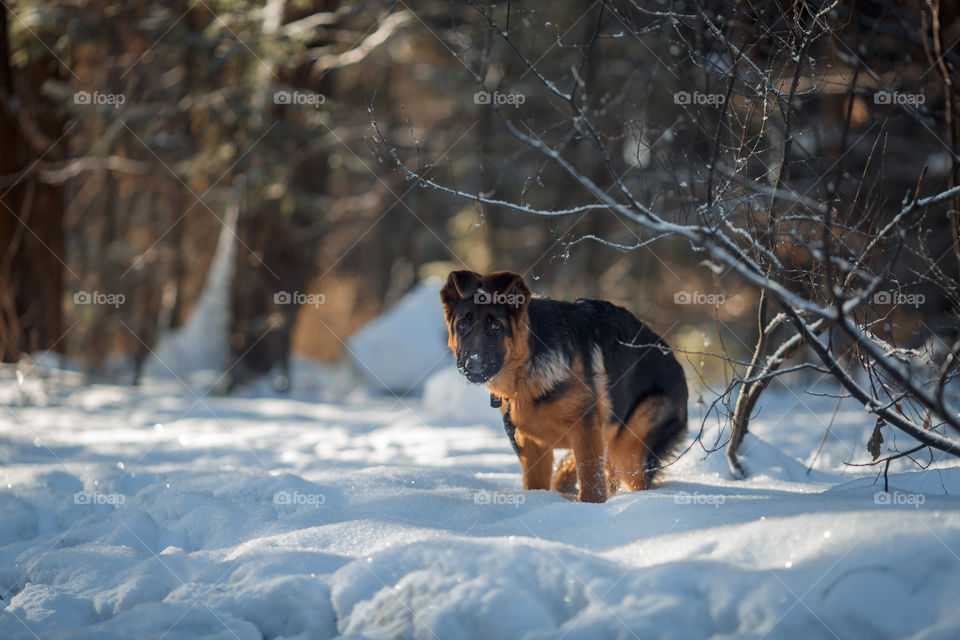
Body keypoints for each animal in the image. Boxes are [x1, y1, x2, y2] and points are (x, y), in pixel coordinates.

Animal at [438, 268, 688, 502]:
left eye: (497, 326)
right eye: (462, 325)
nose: (474, 365)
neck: (526, 369)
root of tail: (676, 362)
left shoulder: (586, 432)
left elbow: (591, 486)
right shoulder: (532, 446)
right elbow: (536, 485)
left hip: (629, 447)